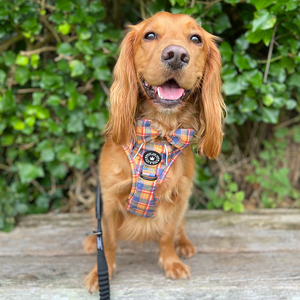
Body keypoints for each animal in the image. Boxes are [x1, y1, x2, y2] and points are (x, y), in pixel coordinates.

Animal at [83, 11, 224, 292]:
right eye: (149, 35)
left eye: (196, 39)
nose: (177, 55)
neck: (159, 133)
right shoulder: (110, 198)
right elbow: (109, 241)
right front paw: (101, 272)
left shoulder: (179, 197)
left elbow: (167, 234)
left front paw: (171, 261)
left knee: (180, 227)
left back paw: (184, 244)